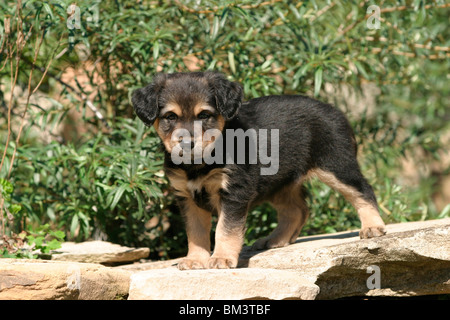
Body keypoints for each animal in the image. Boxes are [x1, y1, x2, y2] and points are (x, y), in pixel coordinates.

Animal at [131, 71, 386, 268]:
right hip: (279, 183)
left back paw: (373, 227)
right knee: (297, 210)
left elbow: (226, 229)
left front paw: (221, 259)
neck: (200, 162)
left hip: (336, 164)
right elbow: (196, 233)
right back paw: (275, 240)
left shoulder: (234, 191)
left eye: (204, 115)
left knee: (363, 190)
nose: (186, 144)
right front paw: (195, 260)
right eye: (170, 117)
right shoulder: (187, 197)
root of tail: (337, 111)